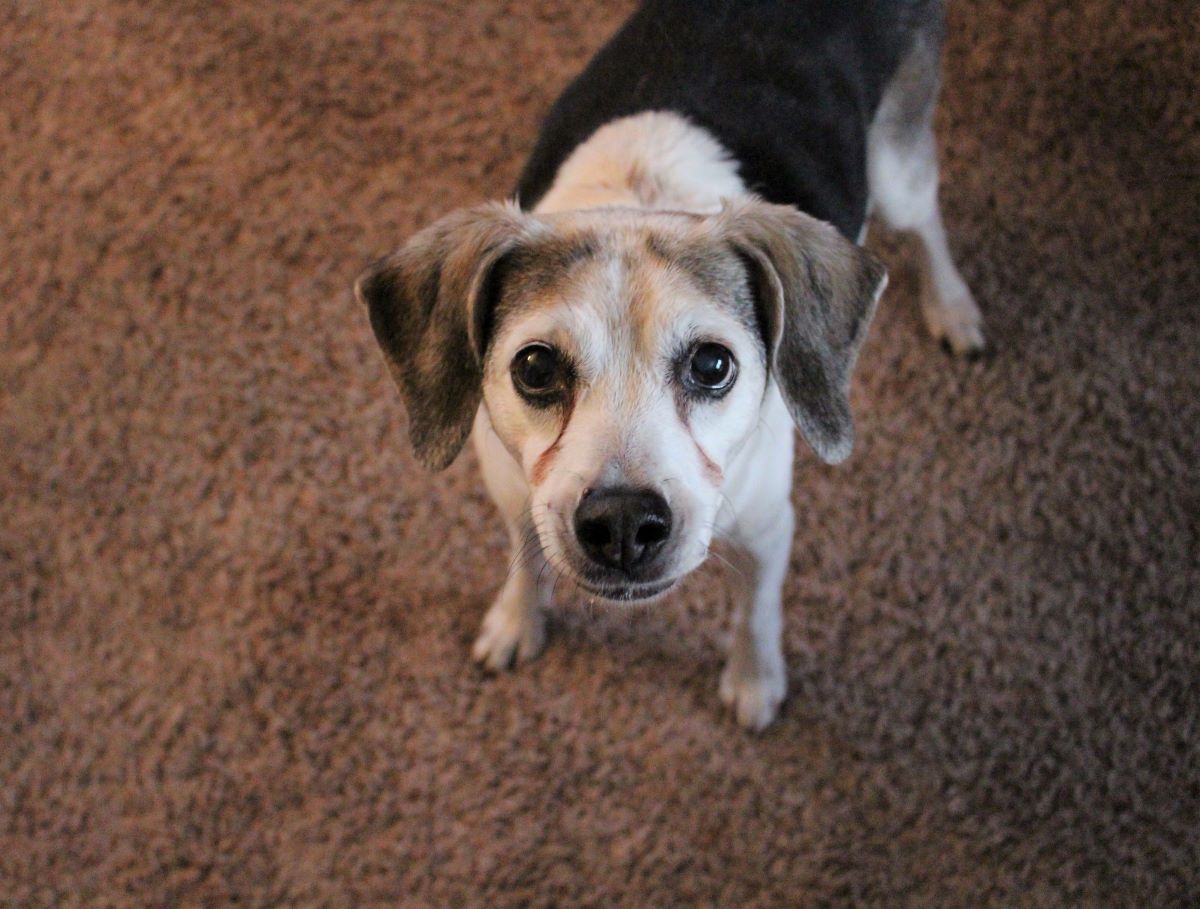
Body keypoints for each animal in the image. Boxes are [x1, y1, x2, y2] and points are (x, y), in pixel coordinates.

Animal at [355, 0, 984, 729]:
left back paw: (952, 306)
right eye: (535, 368)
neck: (638, 197)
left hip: (899, 172)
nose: (623, 523)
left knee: (926, 224)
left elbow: (756, 615)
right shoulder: (517, 500)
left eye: (713, 365)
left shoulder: (768, 527)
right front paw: (517, 620)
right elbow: (525, 560)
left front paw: (753, 680)